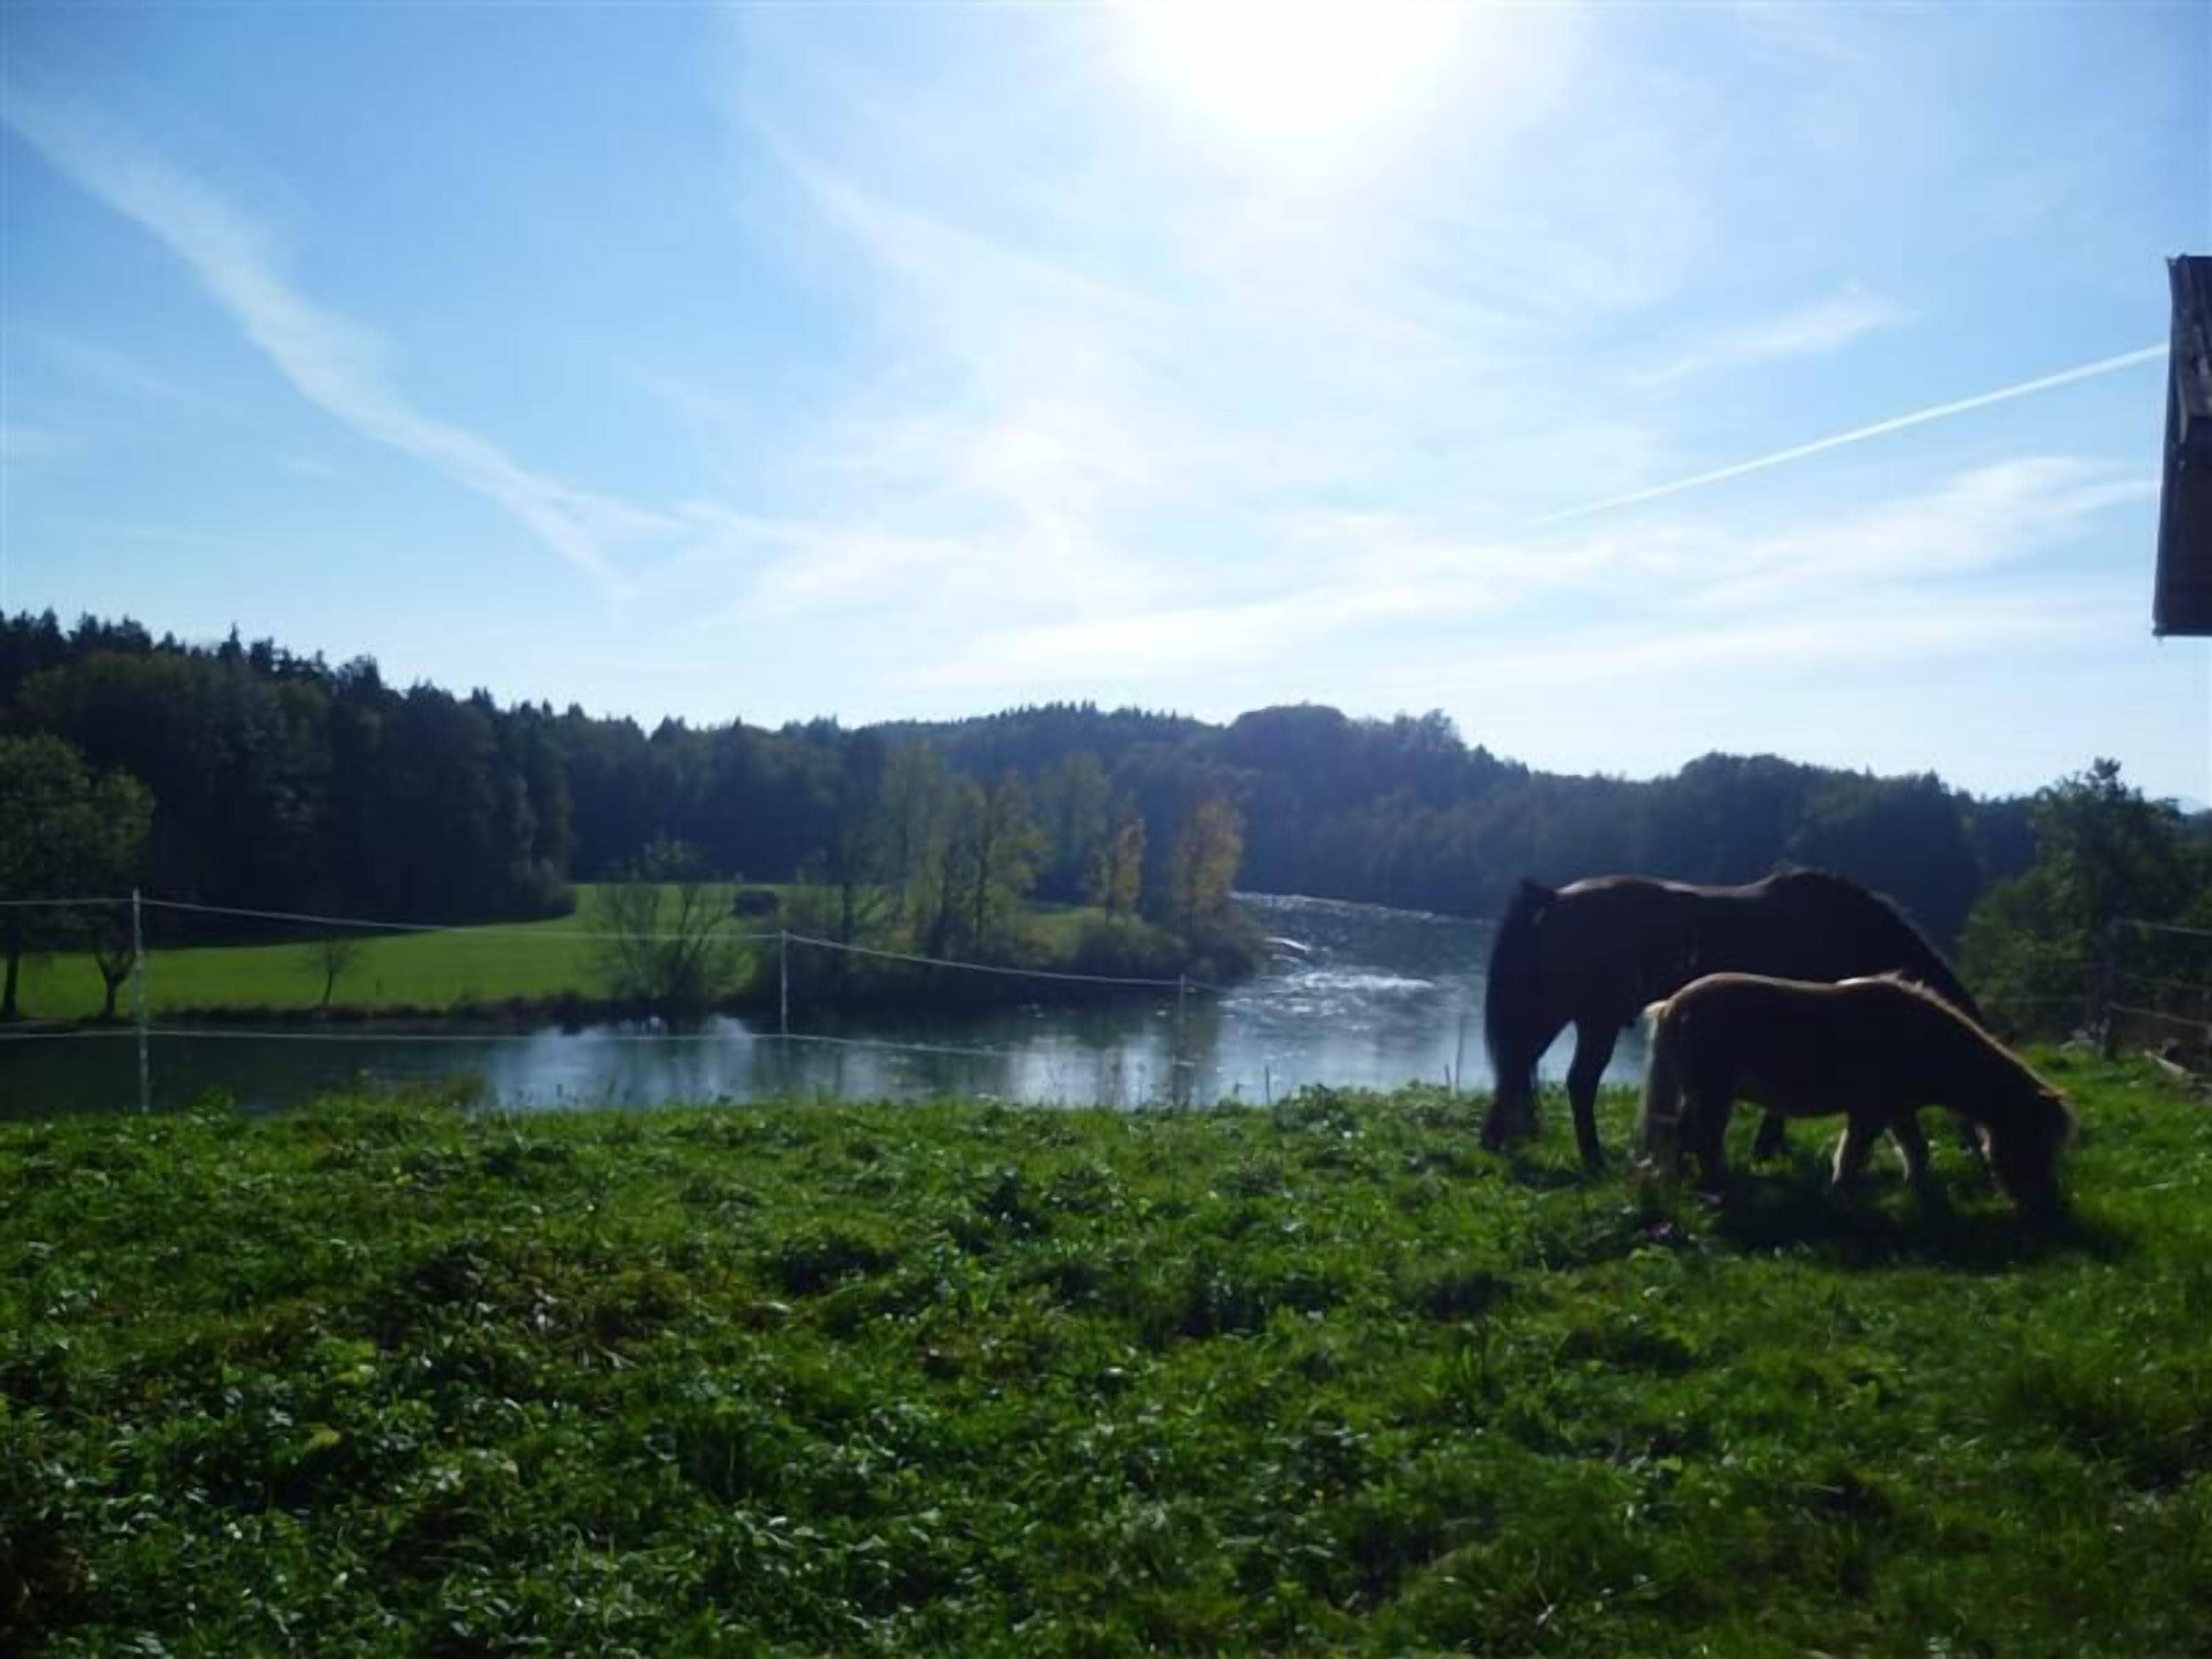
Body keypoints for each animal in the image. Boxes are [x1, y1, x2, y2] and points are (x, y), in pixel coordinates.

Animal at [1478, 870, 1987, 1172]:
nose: (1980, 1158)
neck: (1847, 929)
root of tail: (1551, 899)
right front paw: (1768, 1146)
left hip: (1556, 1014)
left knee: (1514, 1073)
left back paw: (1495, 1143)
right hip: (1587, 1019)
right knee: (1573, 1082)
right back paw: (1593, 1158)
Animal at [1636, 971, 2074, 1215]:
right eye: (2038, 1144)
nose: (2048, 1208)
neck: (1923, 1038)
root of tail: (1672, 1005)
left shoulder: (1898, 1110)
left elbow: (1916, 1151)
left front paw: (1921, 1194)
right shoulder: (1871, 1112)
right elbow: (1852, 1156)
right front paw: (1840, 1199)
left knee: (1683, 1138)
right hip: (1712, 1095)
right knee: (1702, 1141)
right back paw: (1721, 1191)